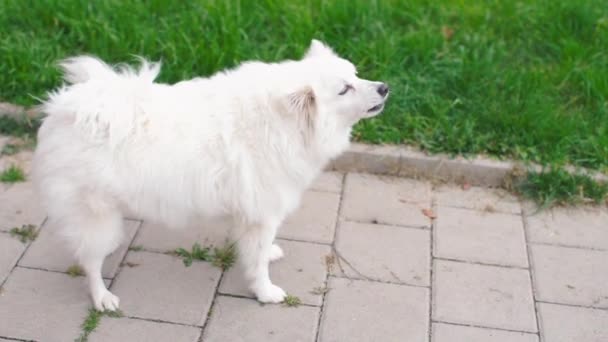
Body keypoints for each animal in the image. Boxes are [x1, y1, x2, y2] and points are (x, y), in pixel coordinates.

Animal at [32, 39, 390, 310]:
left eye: (356, 74)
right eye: (345, 89)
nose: (385, 87)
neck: (284, 123)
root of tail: (65, 111)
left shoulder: (250, 212)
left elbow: (258, 249)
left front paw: (269, 255)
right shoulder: (262, 214)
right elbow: (257, 262)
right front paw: (266, 293)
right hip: (94, 212)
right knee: (90, 262)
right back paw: (102, 297)